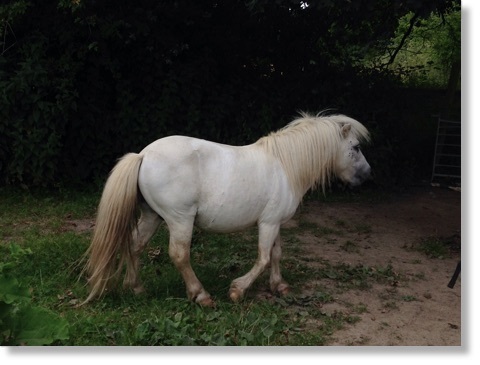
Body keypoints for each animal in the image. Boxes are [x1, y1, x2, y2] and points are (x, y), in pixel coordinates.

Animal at [83, 111, 372, 304]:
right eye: (356, 147)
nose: (367, 175)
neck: (285, 165)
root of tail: (143, 155)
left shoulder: (275, 222)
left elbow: (276, 254)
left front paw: (279, 286)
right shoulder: (268, 224)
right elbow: (263, 257)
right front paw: (237, 290)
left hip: (152, 216)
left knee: (135, 246)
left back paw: (137, 288)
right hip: (179, 219)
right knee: (179, 255)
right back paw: (201, 295)